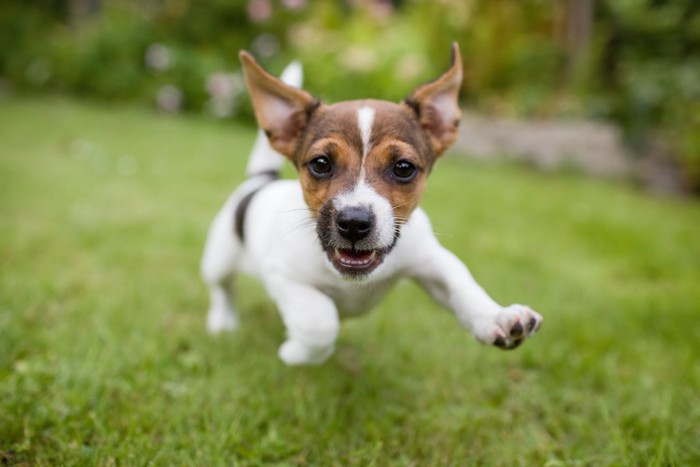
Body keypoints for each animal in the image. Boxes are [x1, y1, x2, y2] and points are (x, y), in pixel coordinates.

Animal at [201, 44, 540, 366]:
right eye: (320, 163)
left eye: (403, 168)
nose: (353, 223)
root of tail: (261, 180)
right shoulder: (284, 276)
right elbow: (320, 321)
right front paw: (296, 353)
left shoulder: (433, 261)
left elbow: (463, 286)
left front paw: (496, 317)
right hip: (219, 257)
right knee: (222, 288)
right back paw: (222, 321)